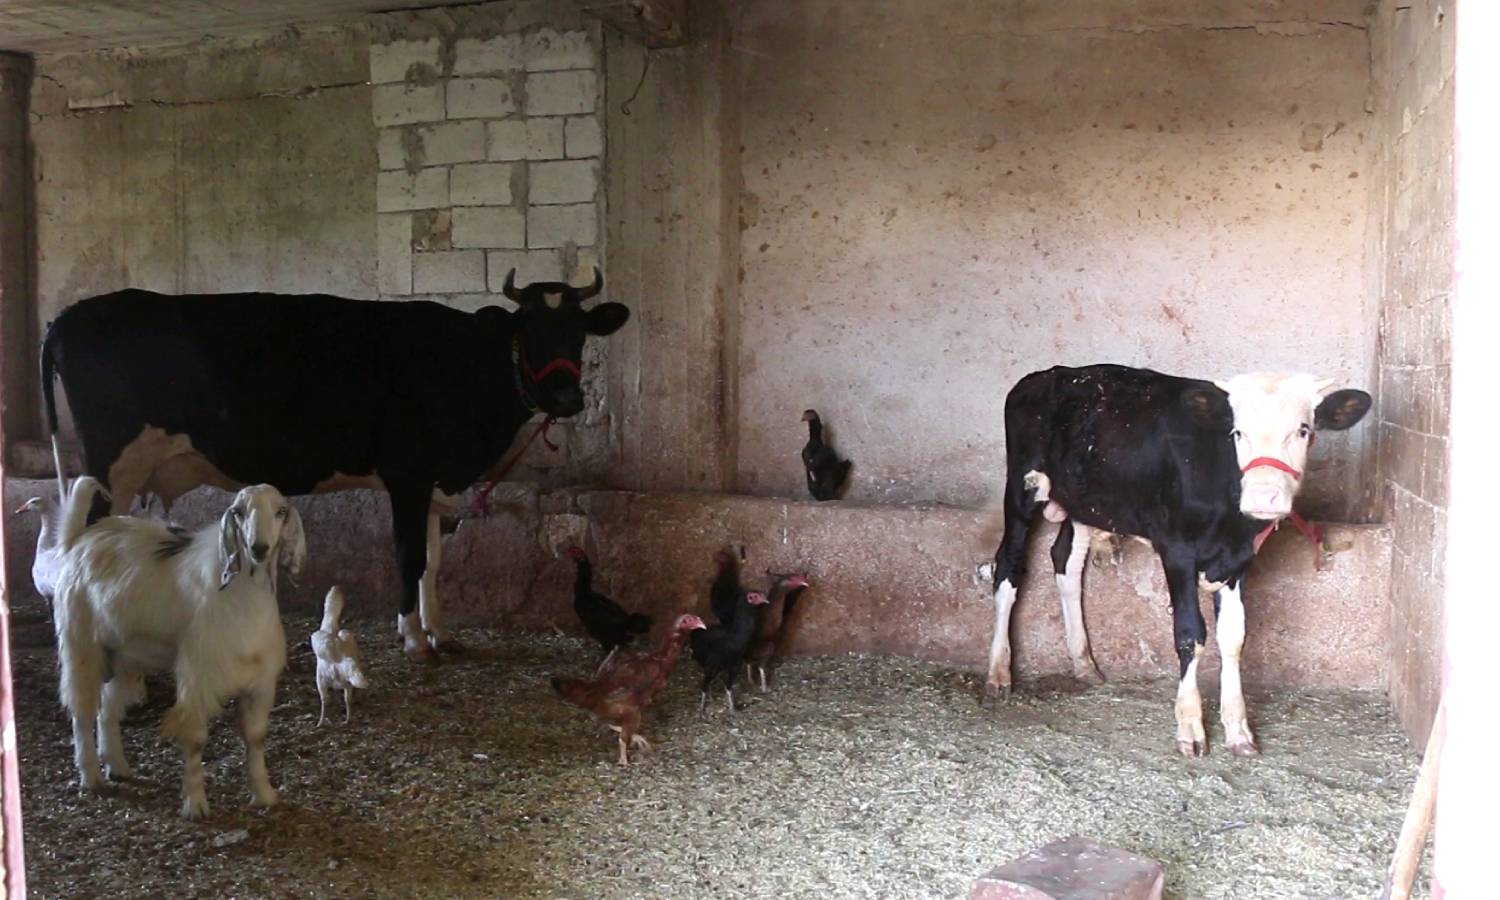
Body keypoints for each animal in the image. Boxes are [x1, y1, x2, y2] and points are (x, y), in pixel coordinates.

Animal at [41, 267, 627, 660]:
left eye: (579, 331)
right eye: (528, 330)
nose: (567, 397)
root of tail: (70, 315)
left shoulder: (435, 481)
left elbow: (434, 562)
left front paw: (440, 631)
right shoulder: (408, 474)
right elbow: (409, 556)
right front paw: (414, 639)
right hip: (110, 467)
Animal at [52, 483, 304, 822]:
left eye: (280, 511)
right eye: (239, 512)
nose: (259, 548)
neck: (243, 598)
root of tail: (78, 538)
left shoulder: (260, 681)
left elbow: (256, 737)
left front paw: (264, 795)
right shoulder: (198, 678)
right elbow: (196, 740)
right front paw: (195, 805)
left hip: (128, 656)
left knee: (107, 707)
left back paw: (117, 767)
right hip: (81, 645)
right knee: (81, 710)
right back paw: (91, 778)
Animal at [310, 588, 369, 729]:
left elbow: (324, 700)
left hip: (322, 679)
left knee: (325, 700)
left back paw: (321, 721)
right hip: (347, 681)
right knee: (347, 699)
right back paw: (347, 718)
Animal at [984, 361, 1374, 756]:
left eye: (1303, 429)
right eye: (1237, 432)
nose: (1264, 497)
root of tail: (1050, 373)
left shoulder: (1239, 558)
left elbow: (1234, 637)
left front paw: (1238, 730)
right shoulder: (1177, 550)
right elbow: (1190, 635)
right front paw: (1190, 727)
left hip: (1082, 502)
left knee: (1066, 562)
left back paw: (1082, 662)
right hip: (1021, 489)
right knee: (1008, 568)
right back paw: (999, 672)